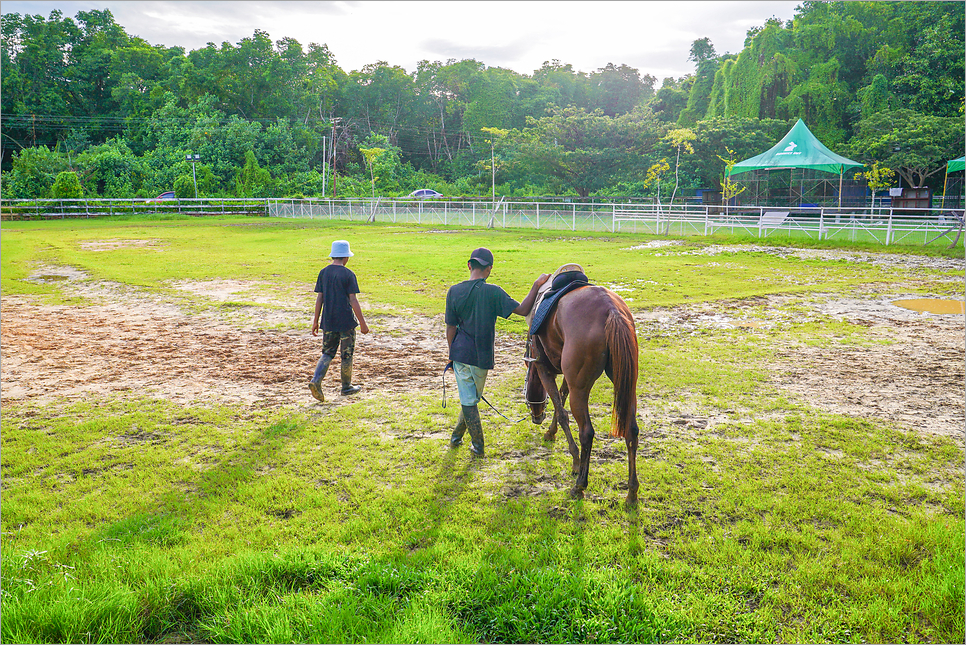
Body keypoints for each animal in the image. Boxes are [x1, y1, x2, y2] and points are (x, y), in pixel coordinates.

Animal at [524, 286, 640, 504]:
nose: (536, 418)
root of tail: (611, 310)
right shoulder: (566, 376)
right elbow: (560, 398)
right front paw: (551, 432)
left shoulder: (544, 369)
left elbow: (561, 411)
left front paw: (575, 460)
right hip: (627, 385)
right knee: (631, 431)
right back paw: (632, 492)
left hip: (580, 390)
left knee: (586, 432)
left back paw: (579, 486)